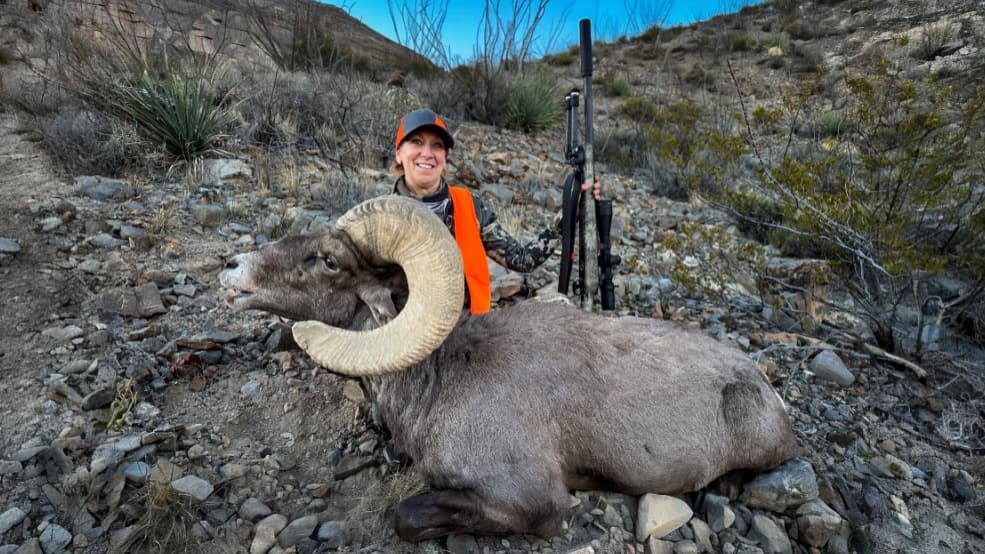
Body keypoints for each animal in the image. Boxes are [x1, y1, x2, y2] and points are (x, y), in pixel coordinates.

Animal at [219, 195, 799, 541]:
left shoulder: (530, 503)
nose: (232, 268)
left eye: (329, 260)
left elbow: (405, 516)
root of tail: (761, 386)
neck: (441, 381)